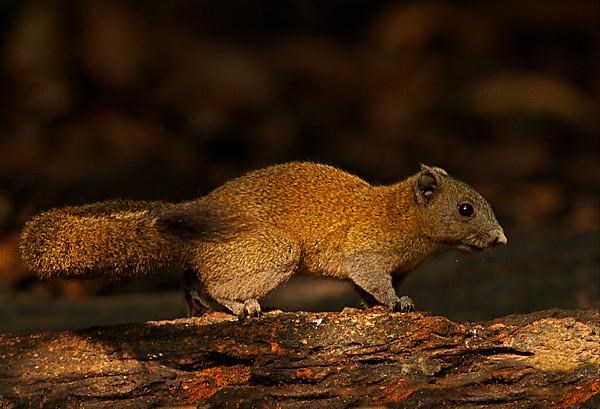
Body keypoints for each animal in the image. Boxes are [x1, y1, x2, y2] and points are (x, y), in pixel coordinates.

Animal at [18, 161, 506, 318]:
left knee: (192, 276)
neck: (401, 216)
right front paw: (396, 305)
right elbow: (372, 279)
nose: (501, 239)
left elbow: (368, 289)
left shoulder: (397, 266)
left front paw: (377, 305)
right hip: (274, 251)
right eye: (466, 209)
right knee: (213, 280)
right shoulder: (366, 251)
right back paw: (240, 307)